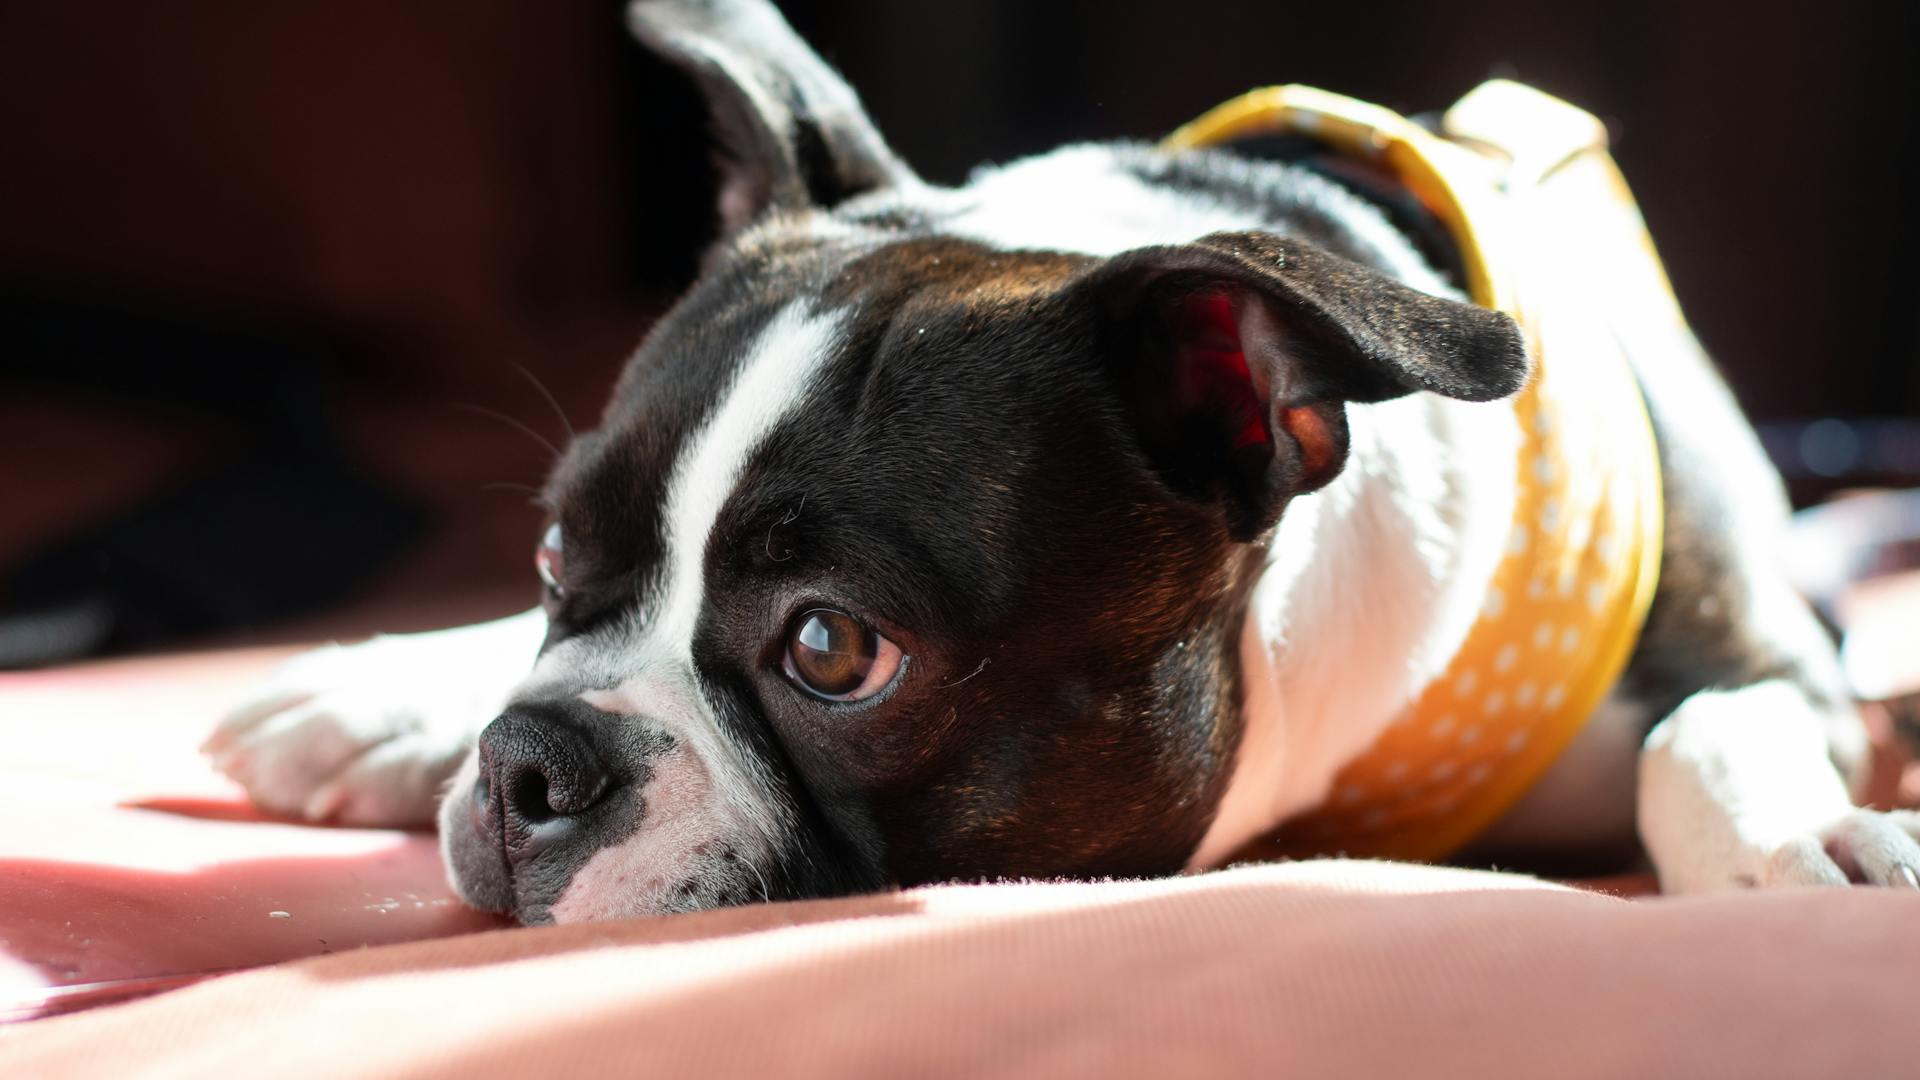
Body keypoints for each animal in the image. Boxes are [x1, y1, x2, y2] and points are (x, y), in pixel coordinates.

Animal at [202, 2, 1912, 926]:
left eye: (832, 650)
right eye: (555, 557)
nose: (525, 764)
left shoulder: (1762, 649)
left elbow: (1706, 729)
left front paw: (1794, 843)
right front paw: (410, 694)